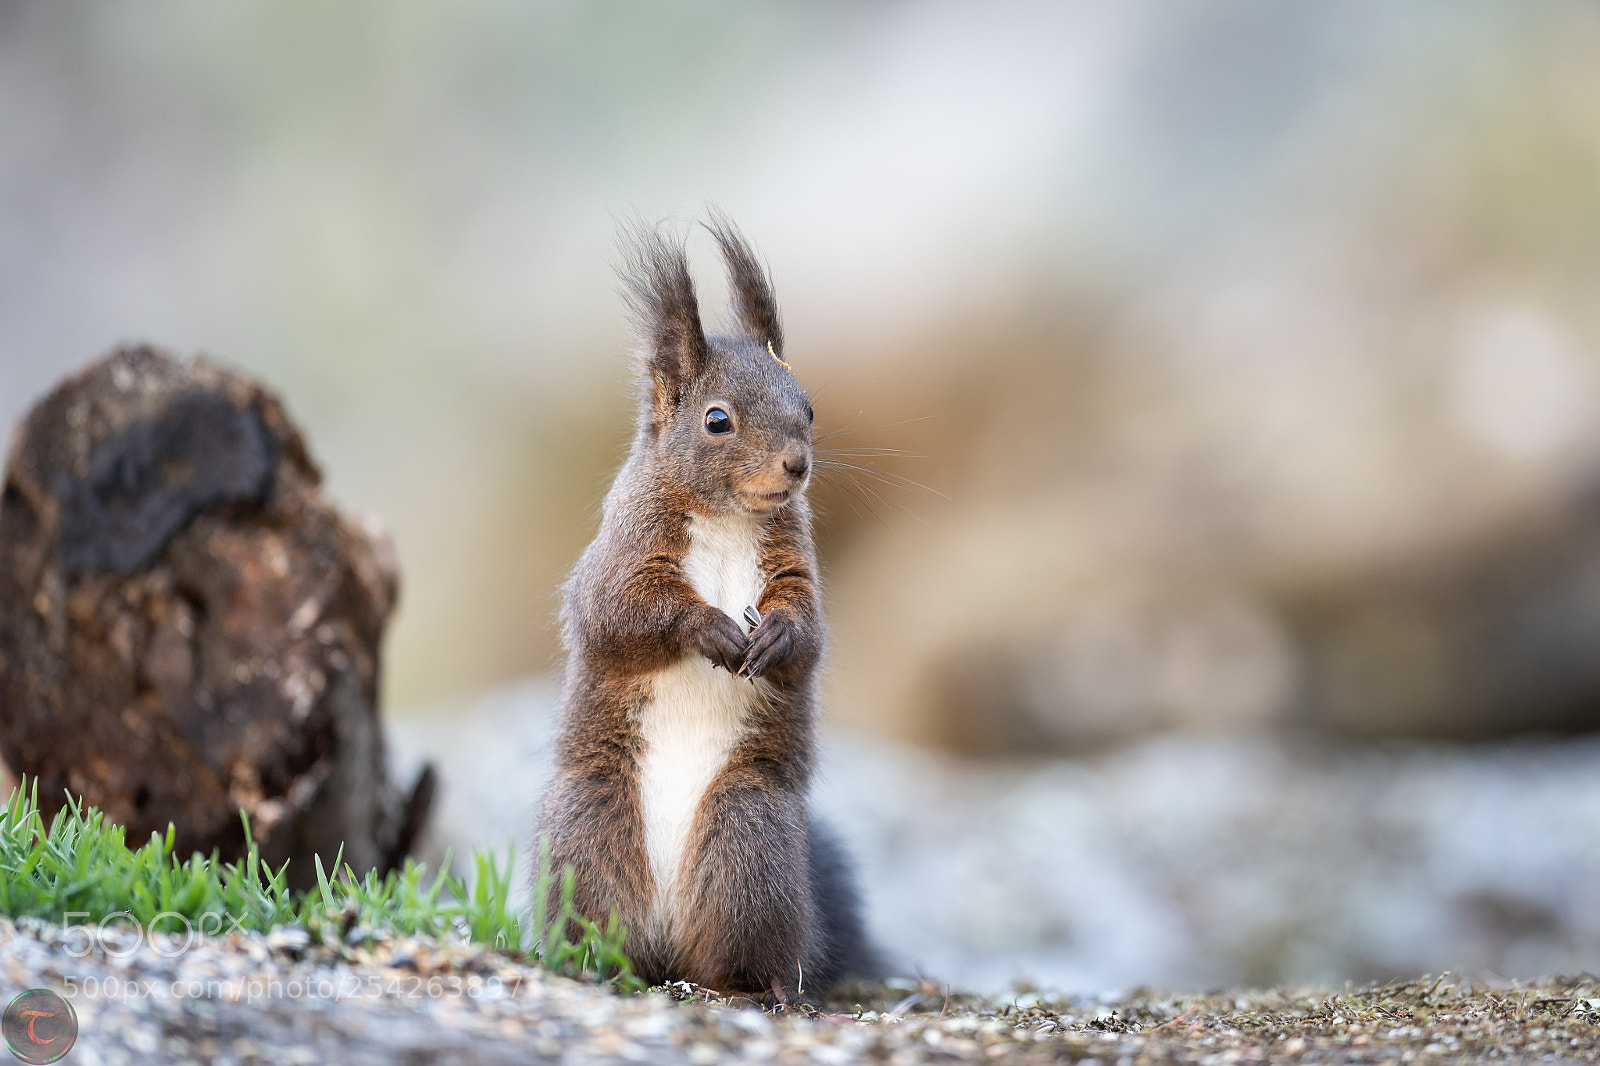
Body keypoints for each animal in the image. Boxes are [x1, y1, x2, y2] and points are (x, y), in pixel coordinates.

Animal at [536, 215, 875, 1001]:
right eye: (717, 420)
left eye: (807, 406)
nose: (796, 465)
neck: (725, 519)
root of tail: (665, 937)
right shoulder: (620, 557)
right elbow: (621, 612)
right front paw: (710, 629)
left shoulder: (795, 565)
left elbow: (809, 631)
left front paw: (775, 637)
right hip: (587, 834)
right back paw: (596, 964)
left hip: (749, 833)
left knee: (733, 946)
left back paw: (760, 985)